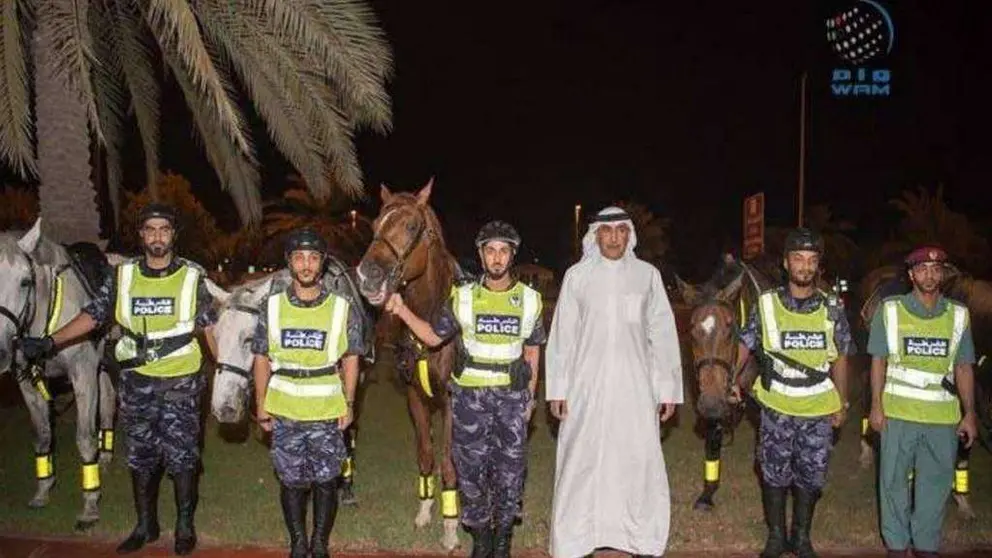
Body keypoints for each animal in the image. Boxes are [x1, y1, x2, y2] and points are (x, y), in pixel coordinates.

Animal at [0, 221, 118, 532]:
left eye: (25, 282)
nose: (0, 351)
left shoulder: (82, 372)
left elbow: (84, 438)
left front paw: (90, 504)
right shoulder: (27, 382)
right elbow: (42, 434)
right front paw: (43, 489)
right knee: (109, 402)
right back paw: (105, 455)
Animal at [356, 180, 462, 552]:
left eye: (412, 226)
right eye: (375, 225)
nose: (367, 275)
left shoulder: (451, 404)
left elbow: (448, 463)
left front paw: (450, 528)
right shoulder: (416, 398)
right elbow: (426, 456)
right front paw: (425, 512)